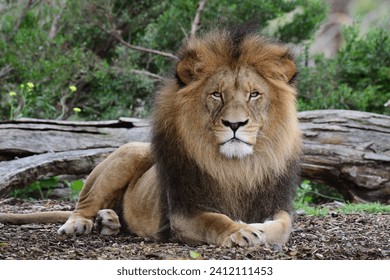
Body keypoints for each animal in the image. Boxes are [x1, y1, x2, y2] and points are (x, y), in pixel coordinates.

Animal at [0, 27, 302, 247]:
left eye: (254, 94)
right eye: (217, 94)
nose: (235, 123)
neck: (238, 167)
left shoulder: (276, 203)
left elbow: (283, 226)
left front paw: (256, 226)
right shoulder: (182, 212)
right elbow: (215, 220)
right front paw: (240, 231)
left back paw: (108, 221)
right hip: (130, 153)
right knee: (83, 204)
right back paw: (80, 223)